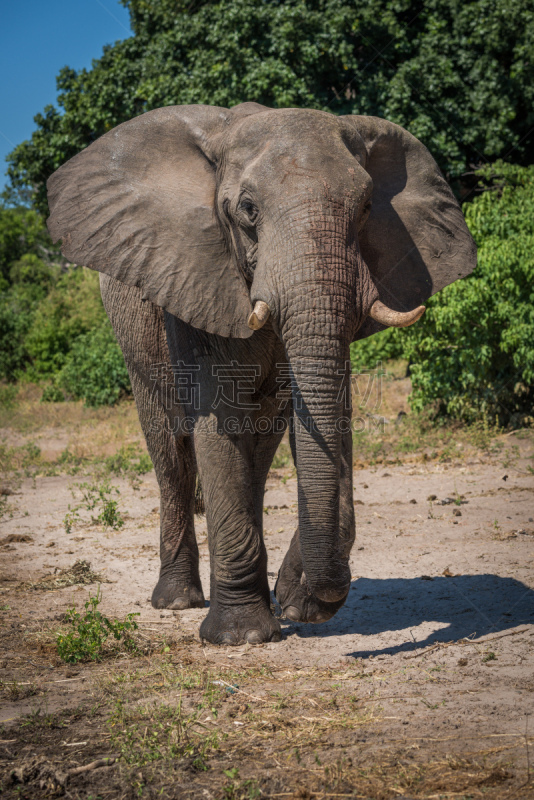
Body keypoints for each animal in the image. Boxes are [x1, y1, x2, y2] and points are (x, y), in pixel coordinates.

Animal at [44, 103, 476, 648]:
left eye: (365, 208)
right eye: (248, 210)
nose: (312, 599)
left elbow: (318, 415)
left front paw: (295, 602)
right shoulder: (193, 280)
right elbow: (219, 419)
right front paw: (242, 636)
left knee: (261, 446)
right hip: (131, 331)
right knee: (171, 450)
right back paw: (178, 601)